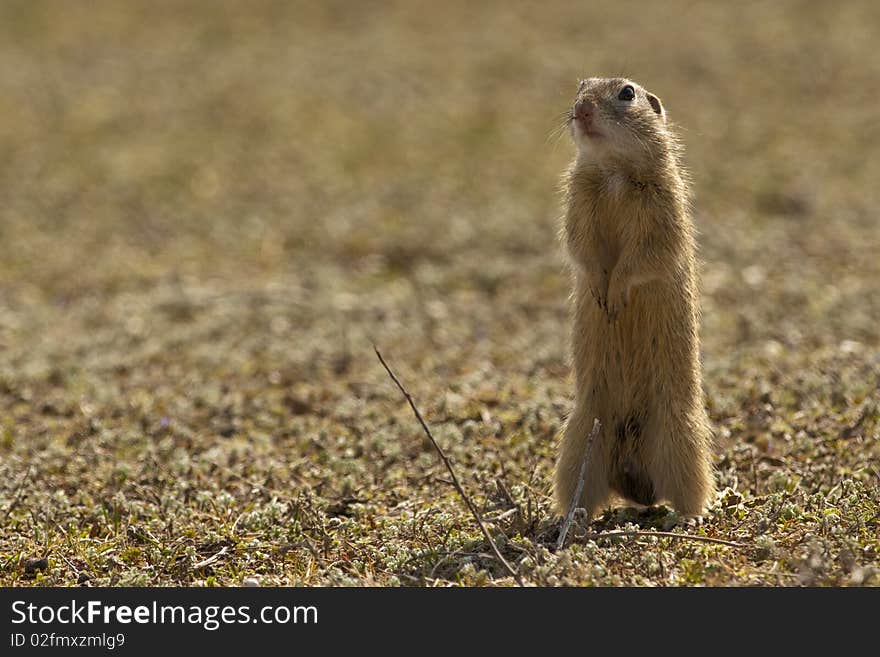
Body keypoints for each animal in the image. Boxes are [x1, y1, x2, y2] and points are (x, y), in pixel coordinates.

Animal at [556, 77, 716, 516]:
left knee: (690, 490)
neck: (614, 172)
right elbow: (581, 246)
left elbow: (648, 254)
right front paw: (600, 292)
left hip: (681, 437)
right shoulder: (578, 200)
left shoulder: (662, 207)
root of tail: (636, 479)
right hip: (579, 438)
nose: (581, 109)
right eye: (580, 86)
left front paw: (615, 295)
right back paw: (570, 518)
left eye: (627, 92)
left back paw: (691, 516)